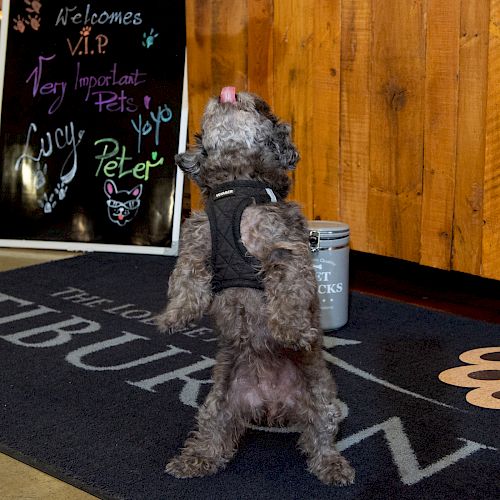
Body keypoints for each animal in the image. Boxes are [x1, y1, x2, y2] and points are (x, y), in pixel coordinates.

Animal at [156, 86, 356, 484]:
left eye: (262, 108)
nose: (230, 93)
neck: (237, 182)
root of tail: (271, 404)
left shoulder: (284, 250)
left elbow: (288, 294)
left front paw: (292, 331)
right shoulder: (196, 244)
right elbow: (184, 282)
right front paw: (173, 316)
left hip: (322, 400)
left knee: (320, 438)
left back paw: (332, 466)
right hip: (217, 402)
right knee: (213, 436)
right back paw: (195, 459)